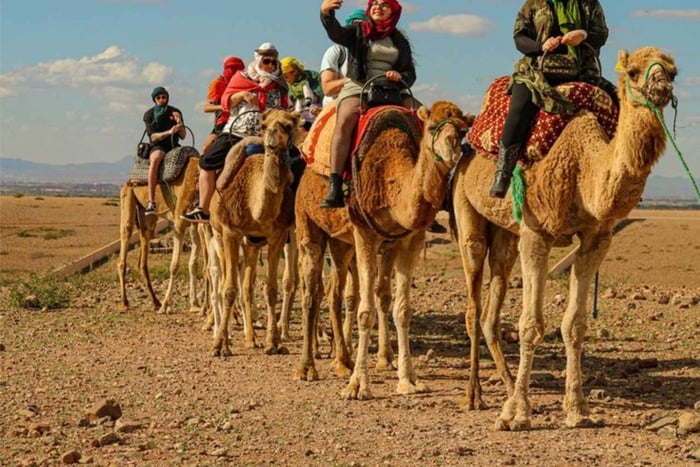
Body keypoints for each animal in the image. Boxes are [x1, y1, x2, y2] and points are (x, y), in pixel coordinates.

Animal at [117, 146, 202, 314]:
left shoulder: (194, 223)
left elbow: (193, 264)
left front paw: (195, 304)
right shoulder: (179, 222)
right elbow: (174, 265)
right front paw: (166, 305)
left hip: (147, 217)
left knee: (143, 255)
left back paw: (155, 301)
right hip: (128, 197)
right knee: (125, 235)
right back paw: (125, 302)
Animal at [207, 109, 301, 357]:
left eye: (288, 126)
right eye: (264, 125)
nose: (271, 140)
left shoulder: (278, 235)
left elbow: (270, 289)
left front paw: (272, 342)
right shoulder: (231, 231)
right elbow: (229, 289)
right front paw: (219, 346)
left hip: (252, 243)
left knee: (247, 288)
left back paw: (252, 338)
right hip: (219, 235)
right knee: (224, 283)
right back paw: (226, 336)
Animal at [294, 101, 473, 399]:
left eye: (462, 130)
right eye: (431, 126)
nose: (451, 148)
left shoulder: (408, 240)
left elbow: (400, 308)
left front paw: (408, 378)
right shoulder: (365, 234)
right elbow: (365, 311)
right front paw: (358, 385)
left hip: (342, 243)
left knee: (335, 292)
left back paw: (343, 361)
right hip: (308, 225)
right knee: (311, 292)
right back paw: (306, 368)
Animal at [451, 47, 677, 430]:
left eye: (674, 71)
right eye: (633, 71)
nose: (661, 86)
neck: (585, 169)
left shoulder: (597, 238)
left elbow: (575, 325)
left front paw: (578, 410)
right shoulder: (536, 233)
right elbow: (530, 325)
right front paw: (518, 414)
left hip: (505, 235)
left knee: (491, 310)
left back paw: (505, 387)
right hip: (467, 210)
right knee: (472, 304)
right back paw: (473, 396)